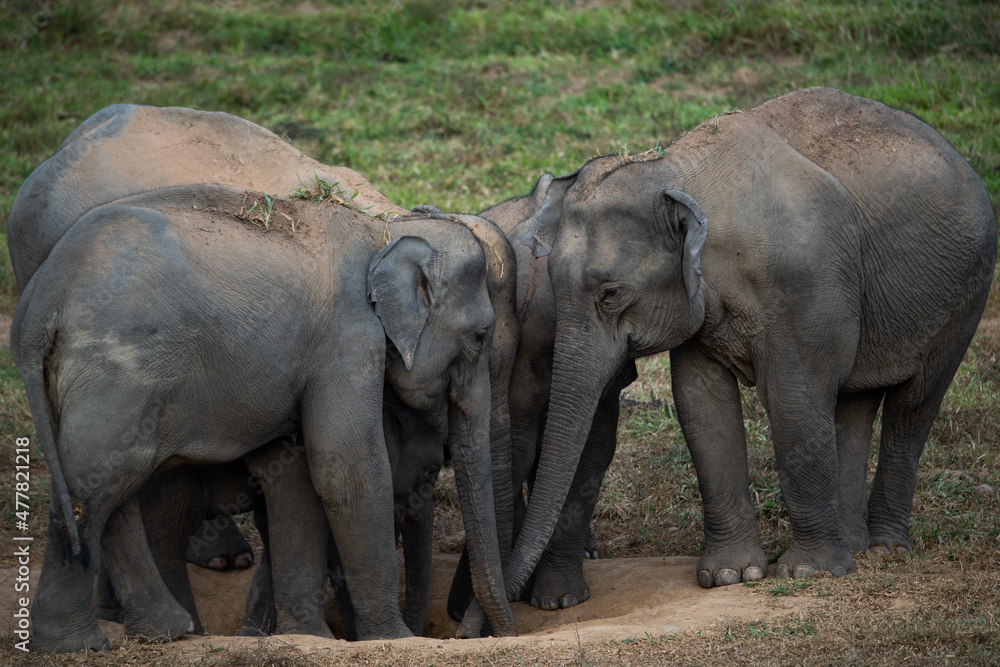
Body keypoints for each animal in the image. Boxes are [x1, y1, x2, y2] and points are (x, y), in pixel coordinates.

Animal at [8, 103, 520, 643]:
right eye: (481, 337)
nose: (481, 634)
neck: (381, 226)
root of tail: (39, 302)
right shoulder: (346, 338)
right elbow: (347, 467)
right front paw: (392, 639)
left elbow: (293, 472)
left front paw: (309, 638)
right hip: (118, 375)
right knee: (100, 482)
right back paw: (89, 639)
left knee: (108, 484)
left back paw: (154, 630)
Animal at [495, 86, 996, 602]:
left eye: (610, 294)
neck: (674, 170)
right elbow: (700, 403)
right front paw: (730, 576)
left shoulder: (804, 282)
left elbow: (794, 398)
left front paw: (808, 573)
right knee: (854, 404)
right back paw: (856, 545)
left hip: (967, 291)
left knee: (914, 405)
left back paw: (885, 549)